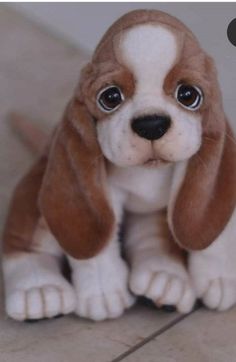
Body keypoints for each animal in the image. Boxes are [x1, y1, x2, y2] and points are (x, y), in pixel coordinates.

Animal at [2, 8, 236, 320]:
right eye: (110, 97)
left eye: (189, 95)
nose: (152, 125)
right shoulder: (100, 198)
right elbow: (99, 243)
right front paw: (103, 292)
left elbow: (216, 235)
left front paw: (220, 277)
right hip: (37, 192)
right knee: (25, 244)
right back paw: (38, 289)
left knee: (152, 238)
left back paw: (164, 278)